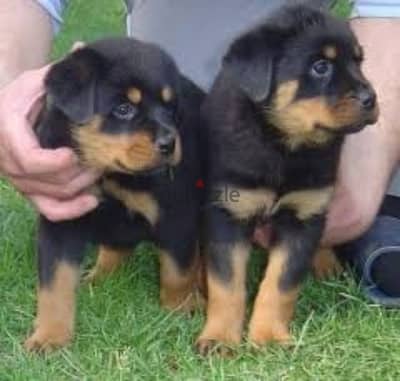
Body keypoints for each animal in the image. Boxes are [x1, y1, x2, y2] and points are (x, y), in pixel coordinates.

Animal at [24, 37, 206, 350]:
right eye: (123, 109)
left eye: (171, 110)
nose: (170, 143)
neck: (107, 175)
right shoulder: (60, 218)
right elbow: (54, 282)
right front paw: (49, 337)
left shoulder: (176, 213)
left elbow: (177, 271)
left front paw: (181, 309)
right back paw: (97, 276)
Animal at [197, 4, 378, 352]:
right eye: (321, 66)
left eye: (359, 61)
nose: (371, 99)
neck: (285, 147)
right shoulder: (228, 211)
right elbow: (226, 283)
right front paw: (219, 338)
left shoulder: (305, 215)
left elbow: (281, 284)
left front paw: (268, 337)